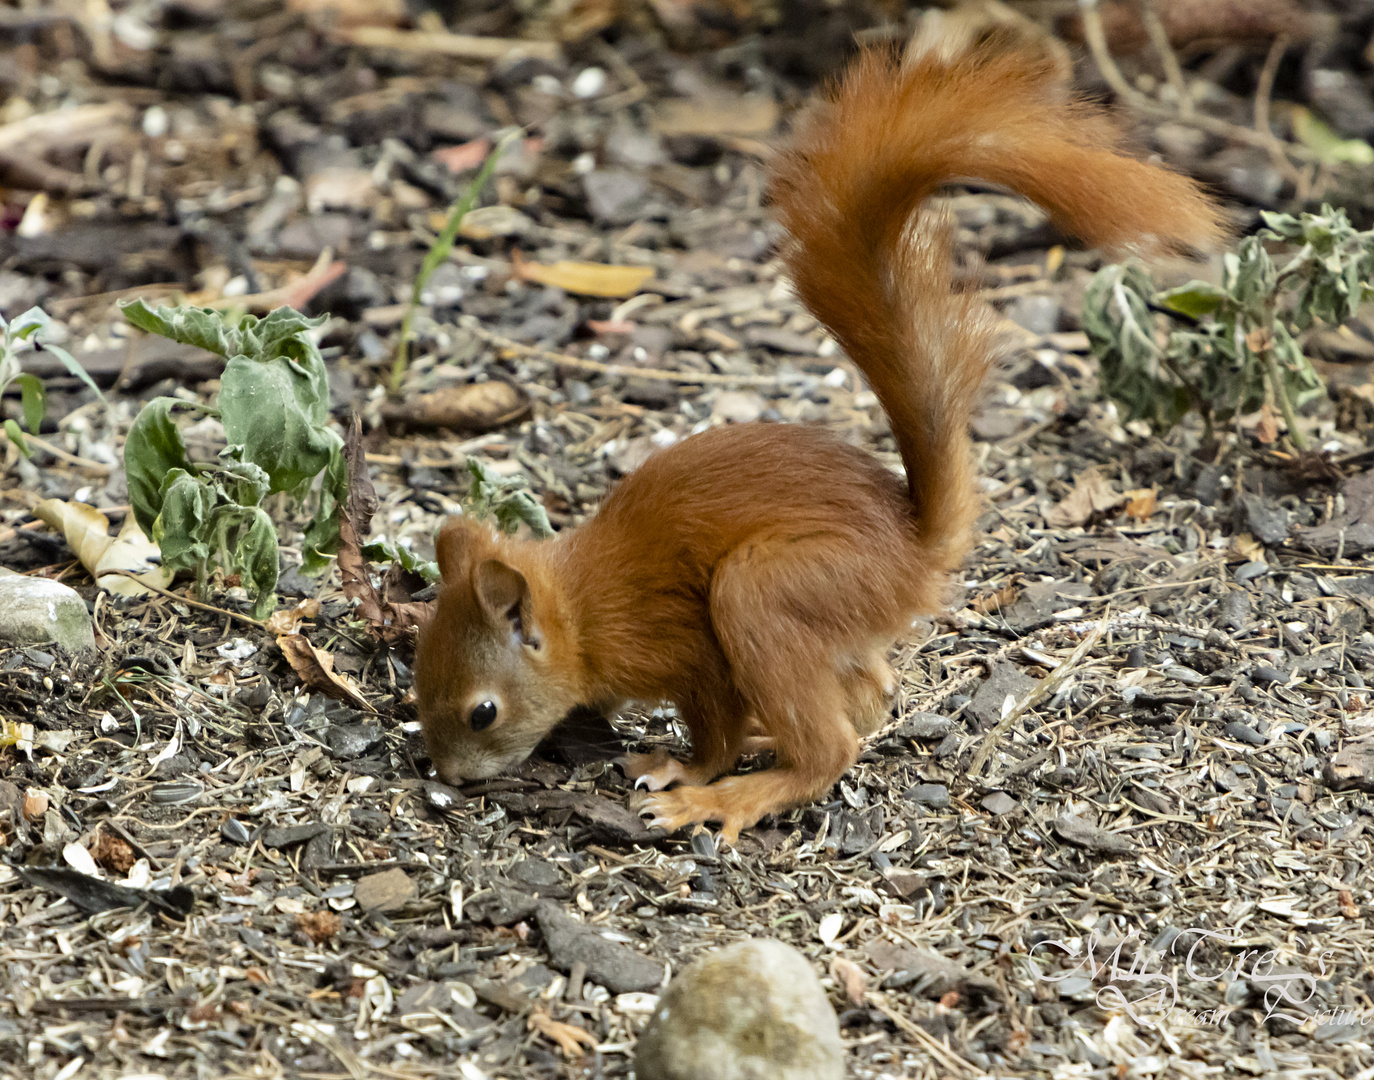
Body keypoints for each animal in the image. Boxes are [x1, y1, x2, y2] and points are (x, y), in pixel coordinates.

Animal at [409, 40, 1225, 840]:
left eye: (483, 712)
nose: (448, 776)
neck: (582, 613)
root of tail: (912, 554)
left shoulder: (689, 652)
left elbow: (713, 733)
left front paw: (686, 776)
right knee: (867, 703)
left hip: (769, 591)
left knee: (832, 746)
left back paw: (738, 795)